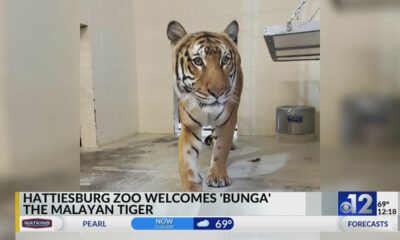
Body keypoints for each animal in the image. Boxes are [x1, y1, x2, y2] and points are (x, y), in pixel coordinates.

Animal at [166, 20, 242, 191]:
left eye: (225, 60)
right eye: (198, 61)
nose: (218, 92)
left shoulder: (228, 120)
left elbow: (221, 147)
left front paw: (218, 177)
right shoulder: (189, 125)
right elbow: (186, 157)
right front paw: (191, 185)